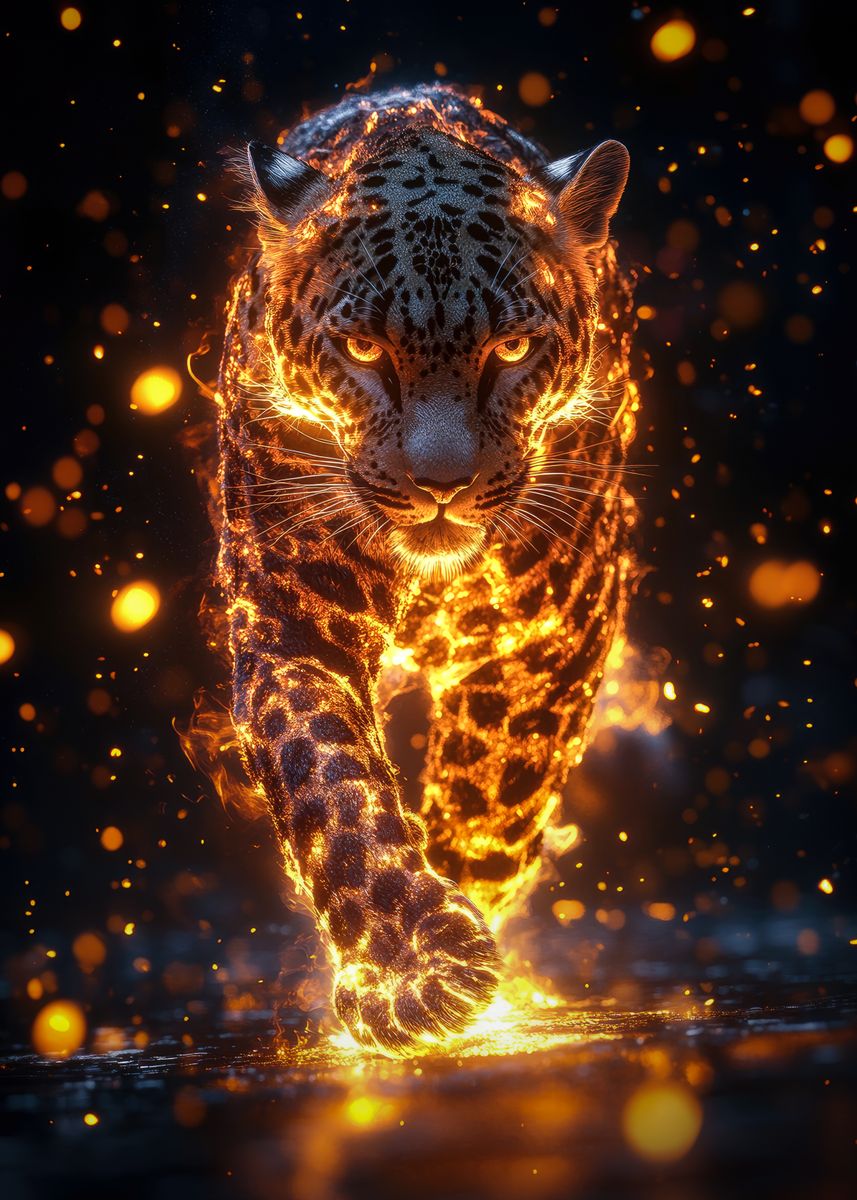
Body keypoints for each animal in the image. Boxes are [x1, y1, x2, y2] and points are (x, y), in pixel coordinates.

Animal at [212, 83, 638, 1054]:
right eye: (364, 351)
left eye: (512, 350)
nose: (441, 485)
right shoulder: (292, 622)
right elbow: (329, 786)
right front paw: (412, 969)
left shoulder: (545, 637)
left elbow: (491, 796)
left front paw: (458, 922)